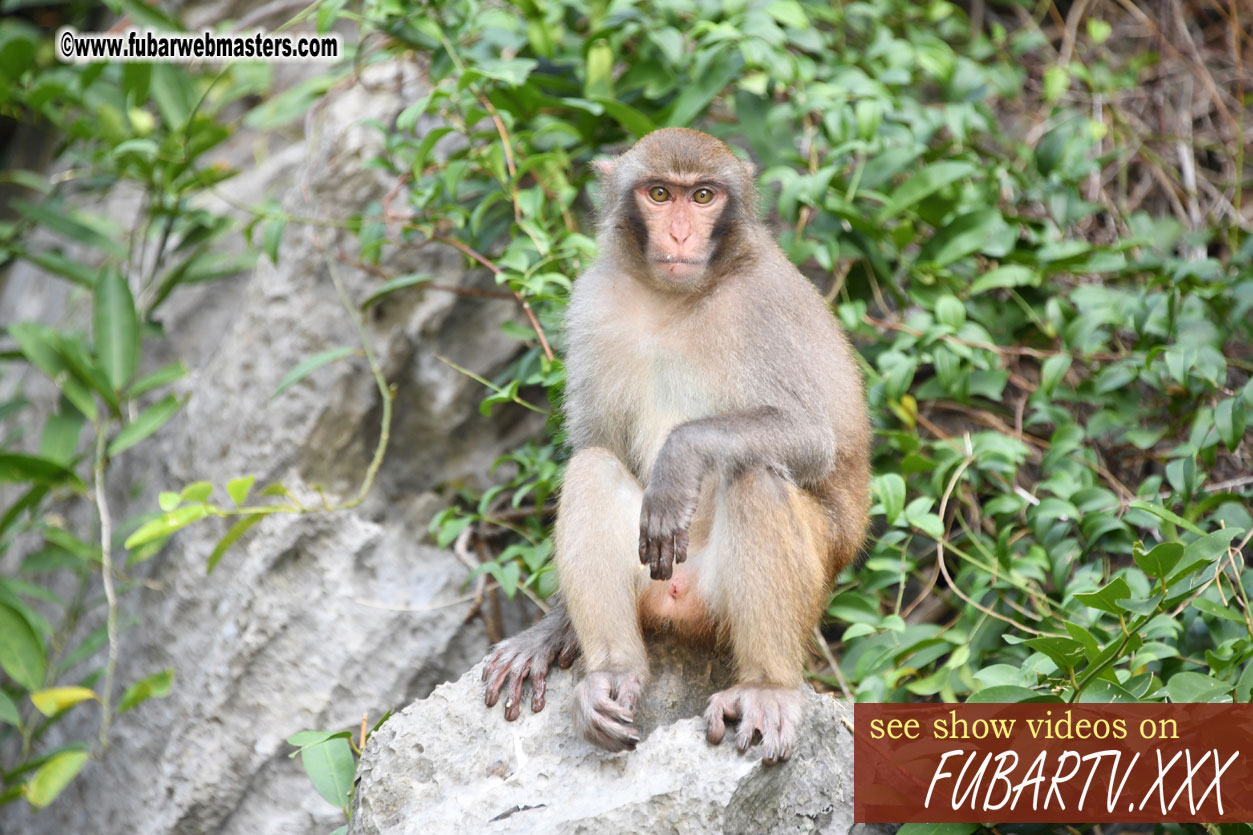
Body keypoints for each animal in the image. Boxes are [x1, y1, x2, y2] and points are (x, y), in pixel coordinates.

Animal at [481, 128, 872, 762]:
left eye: (704, 196)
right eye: (660, 194)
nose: (682, 234)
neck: (673, 299)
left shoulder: (764, 305)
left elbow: (812, 438)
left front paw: (679, 460)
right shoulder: (594, 301)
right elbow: (597, 441)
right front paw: (553, 629)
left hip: (768, 595)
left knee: (755, 474)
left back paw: (766, 688)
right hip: (652, 580)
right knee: (592, 467)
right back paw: (613, 674)